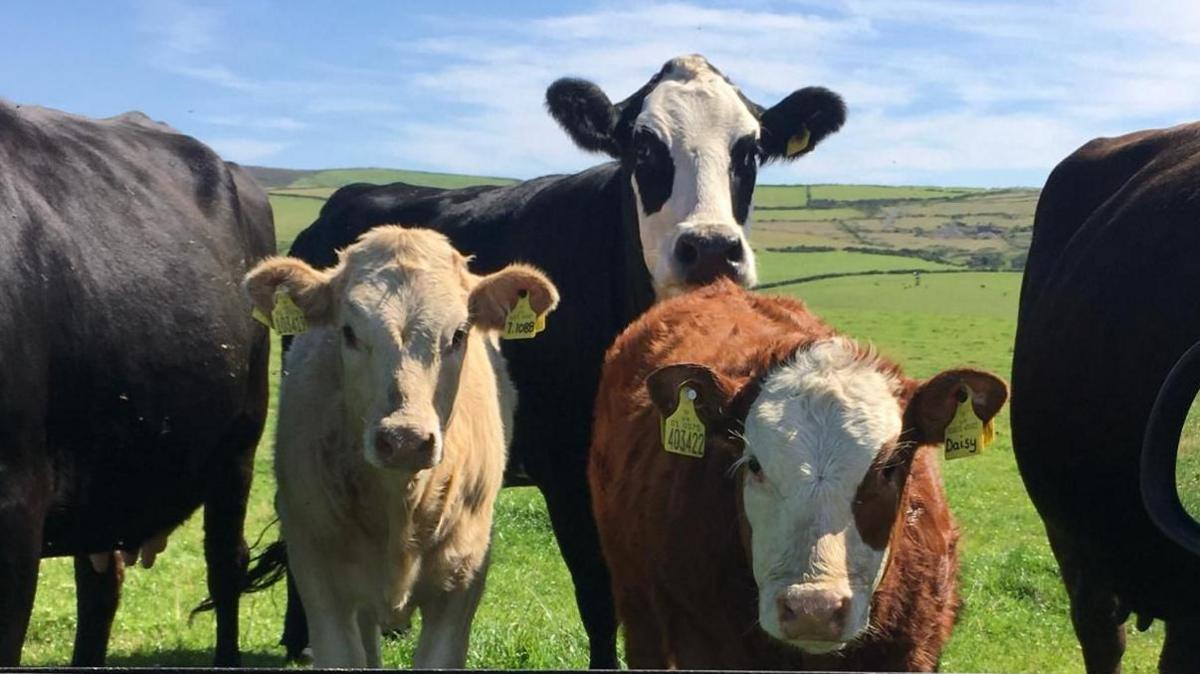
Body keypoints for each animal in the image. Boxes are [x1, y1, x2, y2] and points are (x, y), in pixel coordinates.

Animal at [243, 226, 559, 667]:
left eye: (458, 333)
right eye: (348, 331)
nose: (405, 440)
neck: (399, 506)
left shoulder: (462, 579)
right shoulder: (319, 576)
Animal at [275, 53, 847, 667]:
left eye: (751, 150)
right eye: (643, 148)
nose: (712, 248)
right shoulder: (568, 473)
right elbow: (596, 595)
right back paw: (297, 638)